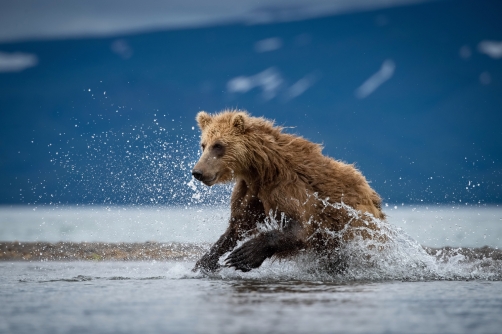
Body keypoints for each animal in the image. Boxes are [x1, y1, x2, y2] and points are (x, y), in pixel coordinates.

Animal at [191, 109, 384, 272]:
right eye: (203, 145)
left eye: (218, 145)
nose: (198, 172)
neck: (262, 169)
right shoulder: (251, 191)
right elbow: (237, 226)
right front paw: (205, 261)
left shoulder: (287, 188)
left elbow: (300, 226)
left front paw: (245, 254)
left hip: (359, 228)